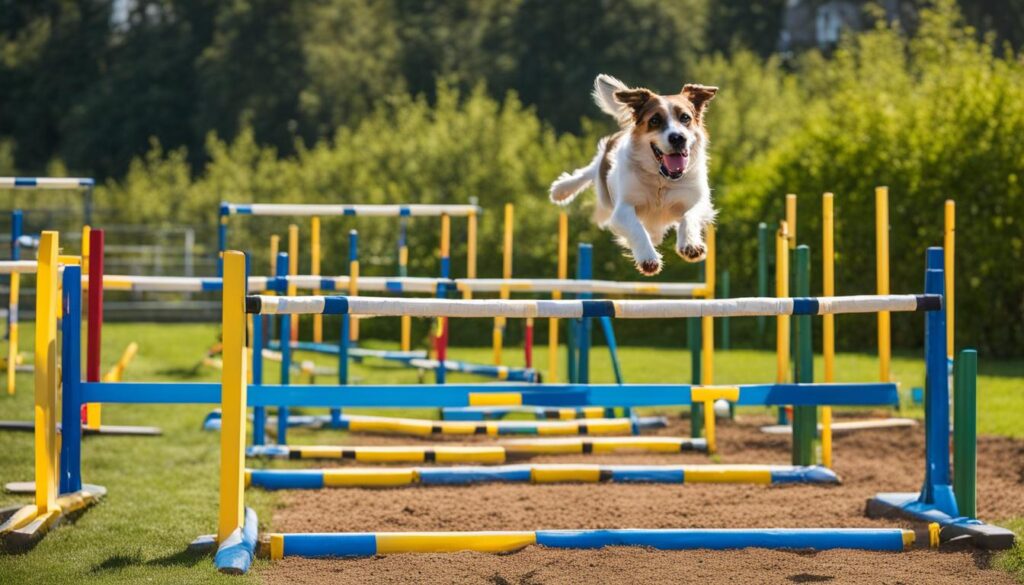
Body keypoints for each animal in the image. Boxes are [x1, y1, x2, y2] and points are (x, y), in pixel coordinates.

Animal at [552, 75, 720, 276]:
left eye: (685, 118)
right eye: (655, 120)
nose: (678, 138)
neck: (661, 180)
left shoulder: (697, 201)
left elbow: (690, 217)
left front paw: (691, 245)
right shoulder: (622, 209)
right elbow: (637, 228)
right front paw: (648, 259)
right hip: (604, 188)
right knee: (591, 170)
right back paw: (562, 189)